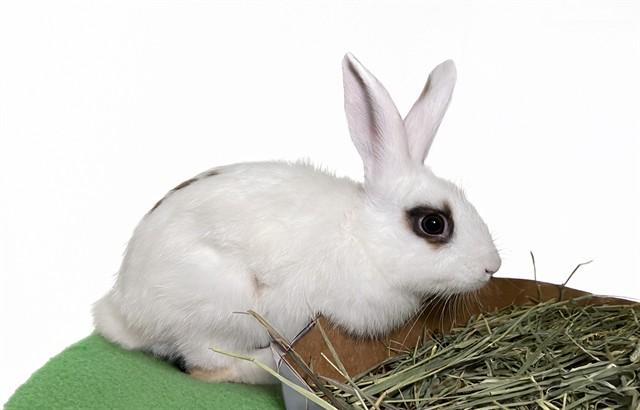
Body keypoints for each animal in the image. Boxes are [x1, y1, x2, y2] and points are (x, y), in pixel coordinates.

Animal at [93, 53, 501, 384]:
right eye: (433, 223)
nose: (491, 267)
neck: (363, 238)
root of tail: (123, 311)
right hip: (219, 310)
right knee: (209, 365)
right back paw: (270, 364)